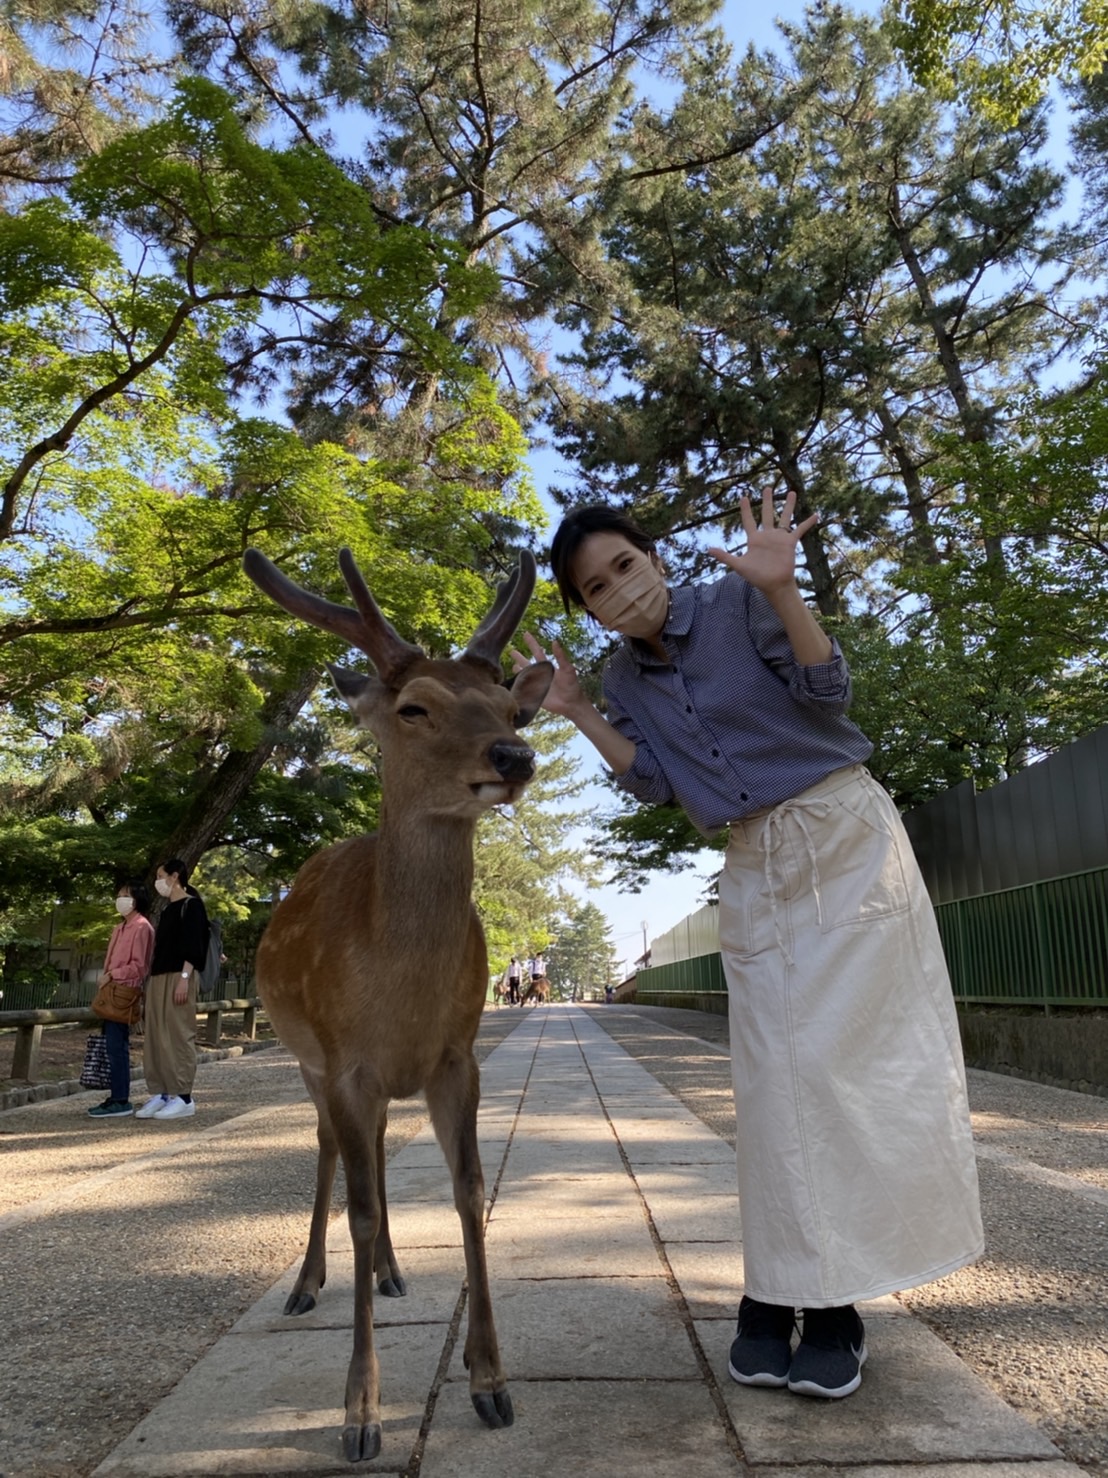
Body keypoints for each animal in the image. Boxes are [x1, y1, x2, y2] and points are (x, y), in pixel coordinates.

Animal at [242, 545, 553, 1463]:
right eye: (415, 706)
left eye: (509, 705)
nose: (513, 755)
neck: (401, 994)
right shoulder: (346, 1062)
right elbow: (360, 1204)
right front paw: (360, 1416)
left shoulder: (457, 1057)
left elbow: (470, 1192)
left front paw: (490, 1384)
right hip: (307, 1059)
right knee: (329, 1154)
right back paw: (310, 1283)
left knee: (374, 1151)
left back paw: (390, 1270)